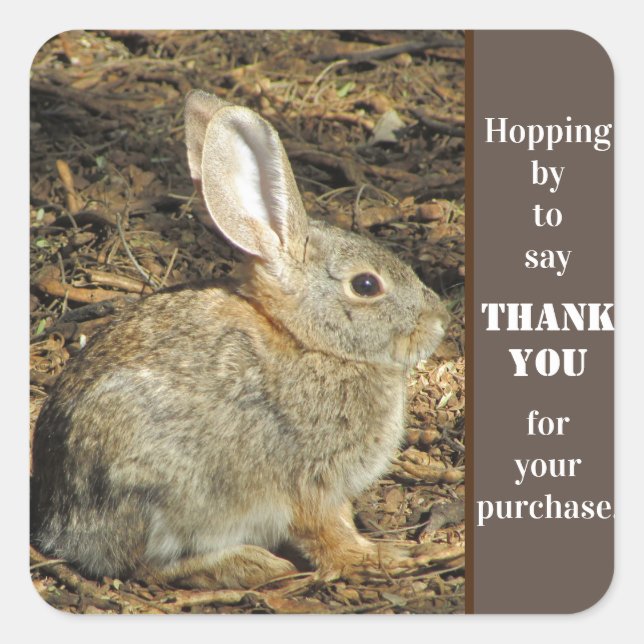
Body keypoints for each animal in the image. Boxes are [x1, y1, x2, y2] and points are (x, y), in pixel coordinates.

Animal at [30, 90, 449, 590]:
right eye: (366, 285)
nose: (439, 320)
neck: (309, 342)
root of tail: (62, 527)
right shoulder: (311, 482)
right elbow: (329, 532)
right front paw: (379, 557)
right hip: (167, 492)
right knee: (146, 567)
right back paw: (252, 564)